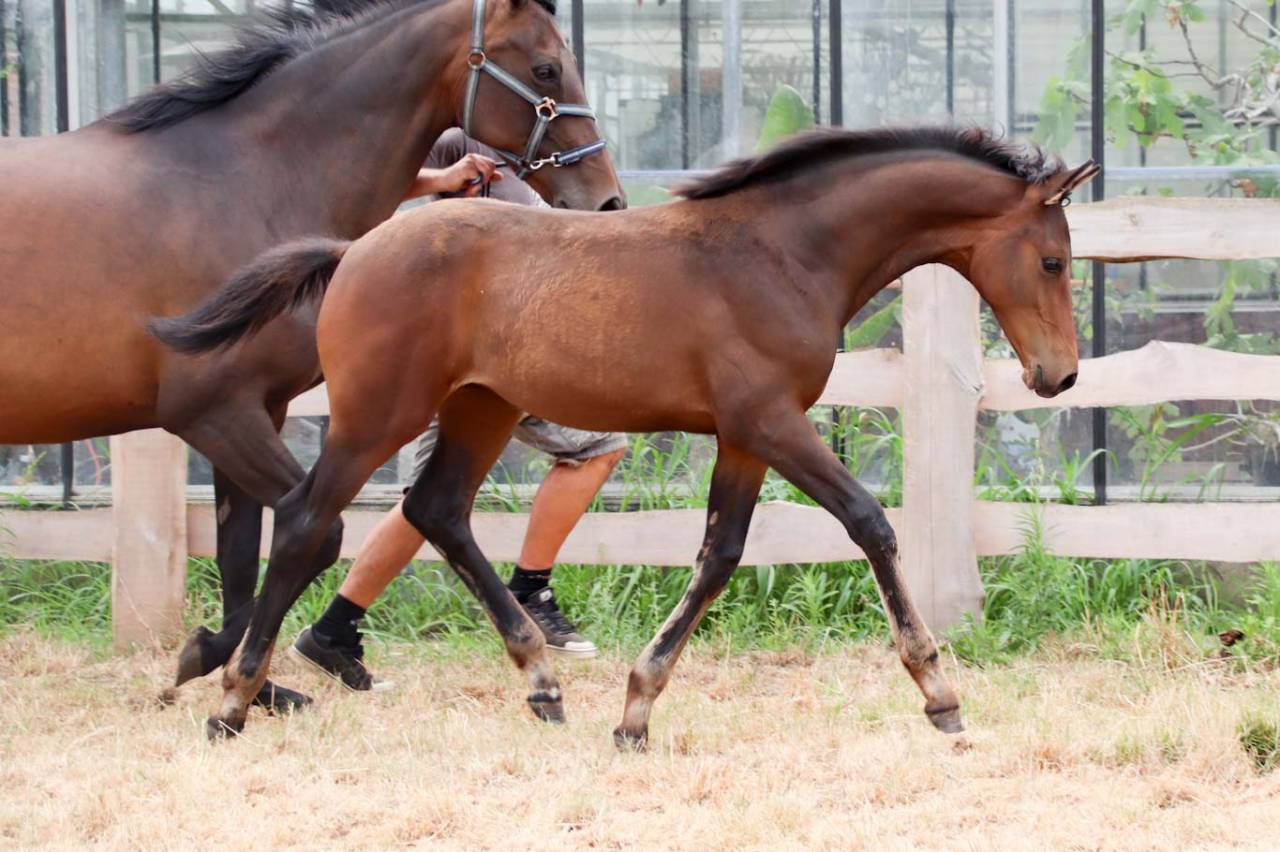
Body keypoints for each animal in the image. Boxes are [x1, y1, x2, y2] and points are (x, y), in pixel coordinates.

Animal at [0, 0, 623, 710]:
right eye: (545, 68)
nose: (606, 199)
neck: (243, 184)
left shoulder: (256, 411)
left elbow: (242, 553)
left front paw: (255, 685)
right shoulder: (213, 413)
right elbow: (315, 533)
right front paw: (211, 662)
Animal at [154, 126, 1098, 742]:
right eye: (1053, 259)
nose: (1059, 376)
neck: (783, 253)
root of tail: (355, 250)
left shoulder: (743, 437)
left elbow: (719, 554)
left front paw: (637, 707)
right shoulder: (771, 421)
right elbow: (870, 522)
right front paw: (939, 692)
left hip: (481, 408)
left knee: (436, 510)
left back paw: (541, 684)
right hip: (377, 415)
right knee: (309, 521)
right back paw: (233, 697)